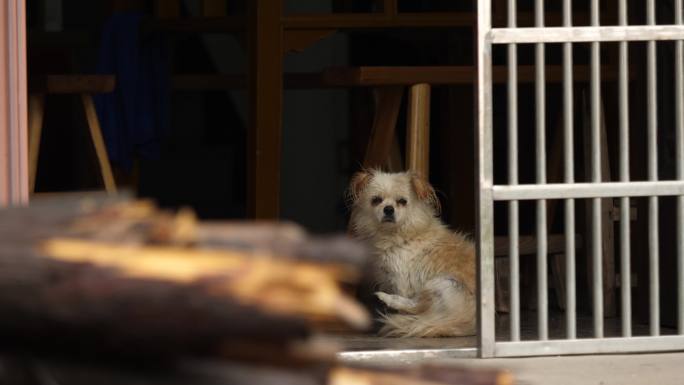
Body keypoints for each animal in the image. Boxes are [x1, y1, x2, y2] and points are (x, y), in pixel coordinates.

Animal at [348, 169, 476, 336]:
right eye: (376, 200)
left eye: (402, 201)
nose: (388, 209)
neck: (400, 235)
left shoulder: (401, 280)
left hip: (443, 282)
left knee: (417, 306)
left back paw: (389, 299)